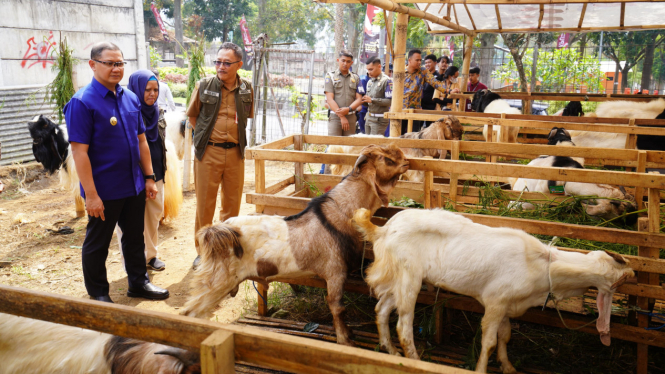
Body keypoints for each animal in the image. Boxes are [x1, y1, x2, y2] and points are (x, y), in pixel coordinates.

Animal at [352, 209, 632, 372]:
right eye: (618, 280)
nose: (633, 272)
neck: (542, 265)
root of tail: (384, 229)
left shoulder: (507, 304)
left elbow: (505, 336)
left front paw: (508, 366)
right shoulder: (495, 302)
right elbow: (488, 342)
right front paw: (482, 368)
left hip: (398, 279)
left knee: (381, 309)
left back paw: (389, 351)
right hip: (409, 277)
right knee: (404, 325)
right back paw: (414, 359)